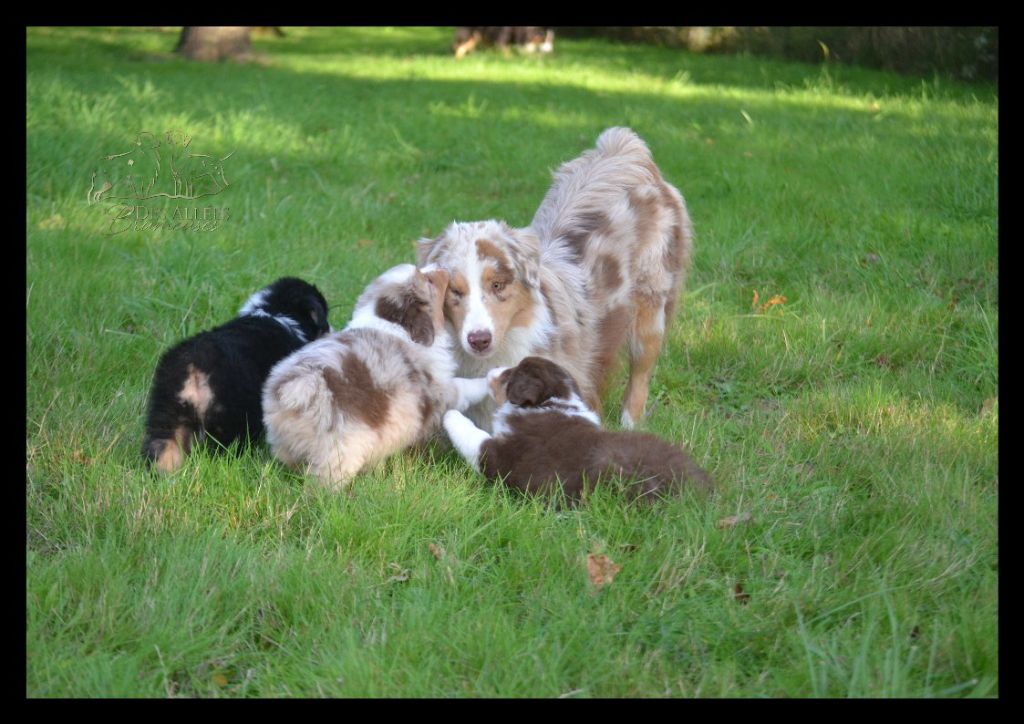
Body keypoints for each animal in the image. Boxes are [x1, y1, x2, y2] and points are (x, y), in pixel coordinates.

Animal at [262, 264, 489, 489]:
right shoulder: (439, 389)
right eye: (429, 280)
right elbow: (463, 386)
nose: (442, 267)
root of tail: (298, 386)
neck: (394, 325)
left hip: (287, 446)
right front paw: (489, 379)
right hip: (339, 452)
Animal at [417, 125, 696, 430]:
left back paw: (630, 423)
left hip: (650, 307)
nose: (479, 339)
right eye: (455, 291)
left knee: (641, 372)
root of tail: (624, 146)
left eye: (498, 285)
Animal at [444, 356, 716, 503]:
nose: (492, 370)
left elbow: (472, 436)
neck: (552, 402)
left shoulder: (504, 455)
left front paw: (449, 413)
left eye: (510, 374)